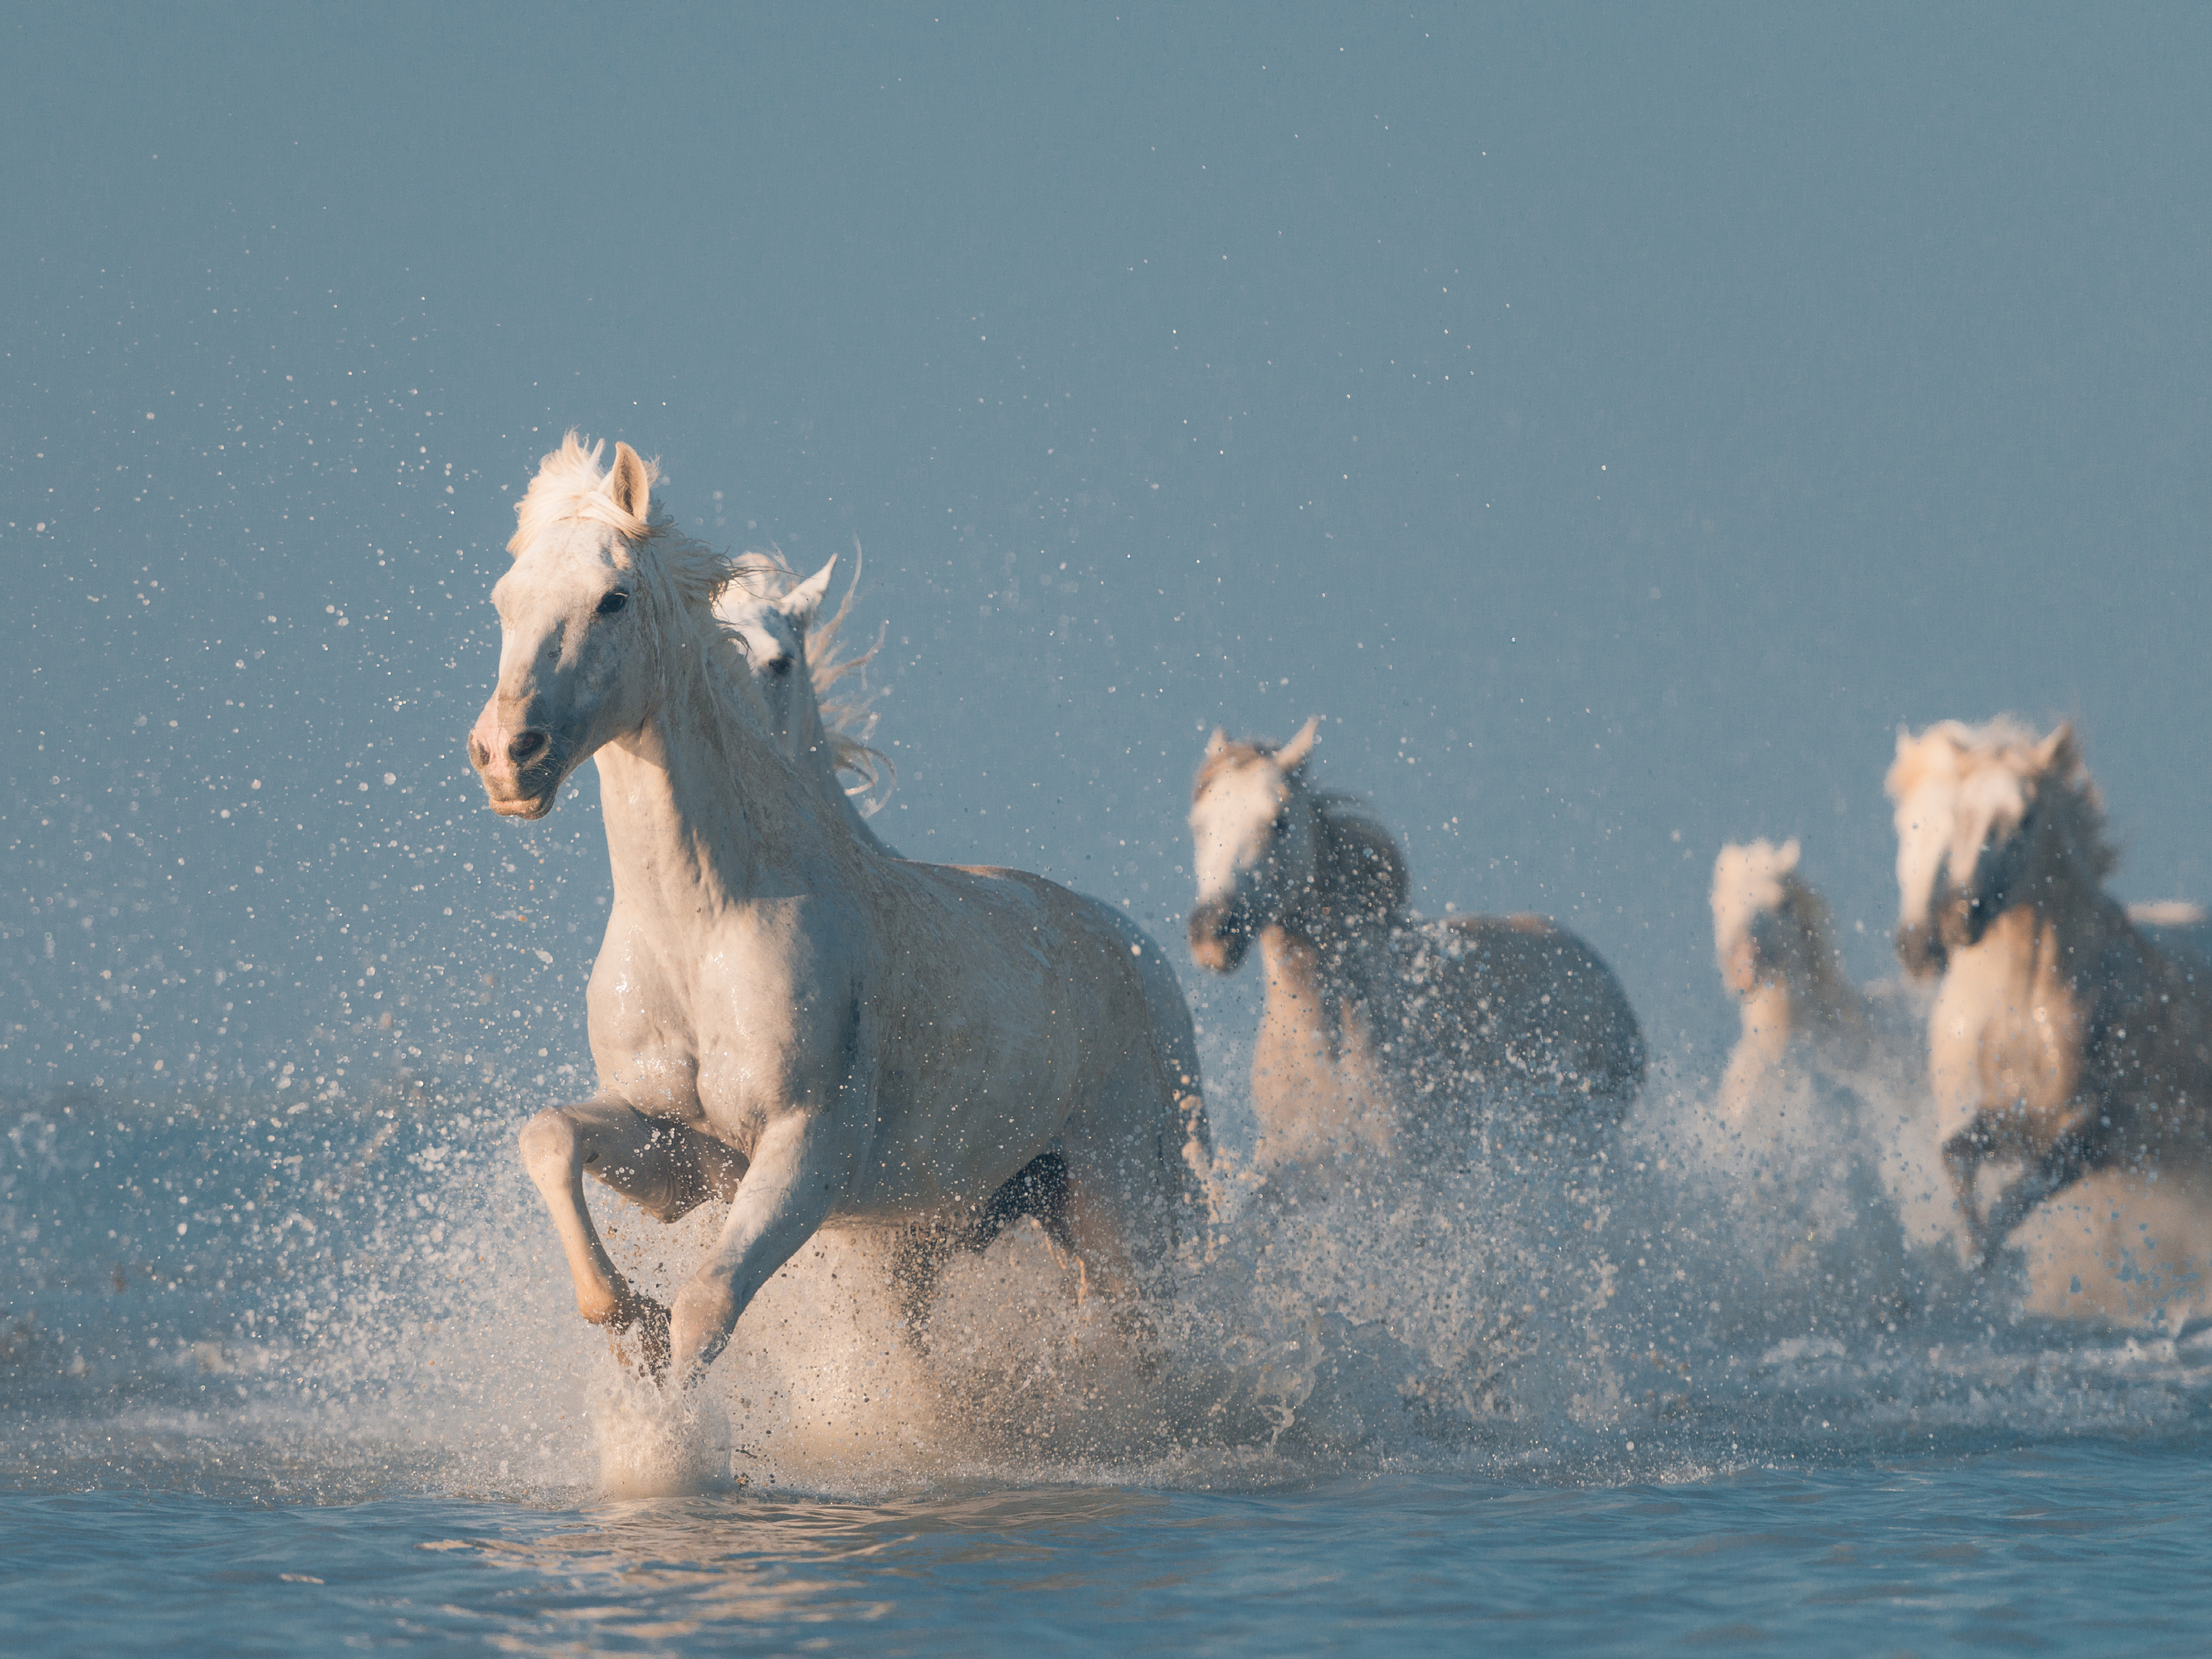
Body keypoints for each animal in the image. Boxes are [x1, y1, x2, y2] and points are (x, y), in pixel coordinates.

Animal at [467, 434, 1208, 1385]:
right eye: (503, 602)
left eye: (612, 598)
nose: (506, 757)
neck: (702, 927)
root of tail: (1141, 954)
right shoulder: (680, 1151)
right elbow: (549, 1135)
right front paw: (625, 1314)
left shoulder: (806, 1151)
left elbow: (708, 1304)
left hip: (1121, 1203)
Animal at [1886, 718, 2212, 1266]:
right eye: (1962, 815)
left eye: (2026, 818)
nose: (1958, 918)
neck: (2019, 1004)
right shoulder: (2002, 1120)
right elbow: (1957, 1158)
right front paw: (1971, 1257)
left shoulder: (2094, 1135)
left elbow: (2021, 1192)